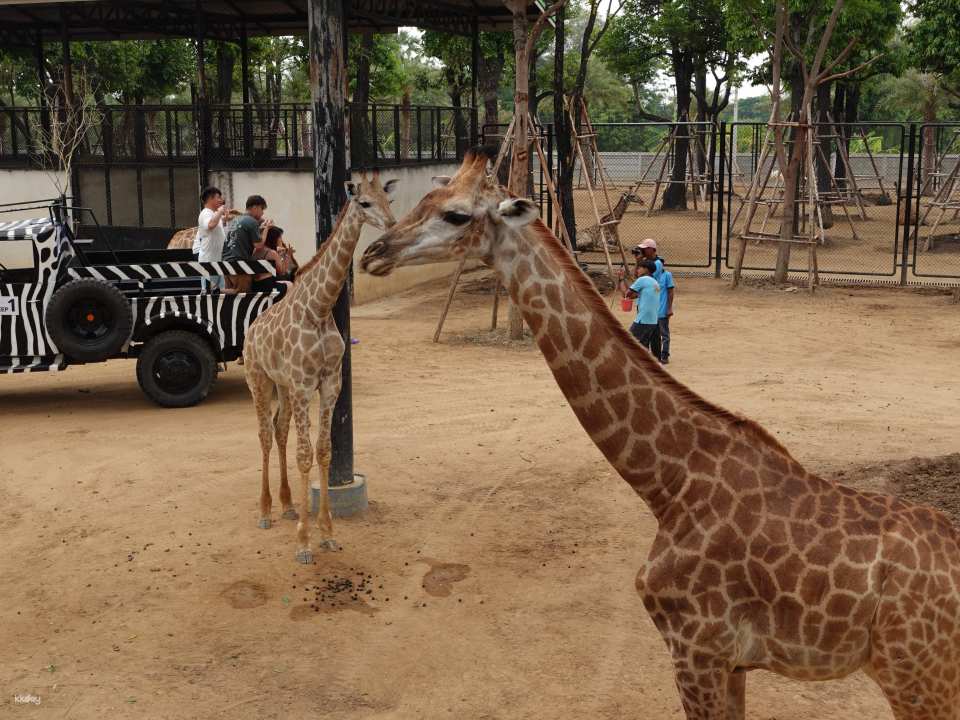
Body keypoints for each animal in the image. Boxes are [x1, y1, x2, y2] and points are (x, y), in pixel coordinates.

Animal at [244, 170, 398, 563]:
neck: (320, 308)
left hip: (282, 385)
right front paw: (303, 543)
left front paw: (326, 533)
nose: (391, 226)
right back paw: (264, 511)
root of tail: (251, 330)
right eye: (364, 202)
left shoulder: (329, 383)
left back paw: (286, 506)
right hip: (259, 379)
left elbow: (324, 451)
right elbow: (304, 455)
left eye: (388, 199)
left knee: (279, 430)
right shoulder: (303, 384)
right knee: (264, 434)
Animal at [361, 147, 960, 720]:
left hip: (916, 676)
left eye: (456, 214)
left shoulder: (696, 647)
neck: (668, 486)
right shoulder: (732, 662)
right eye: (425, 198)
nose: (374, 254)